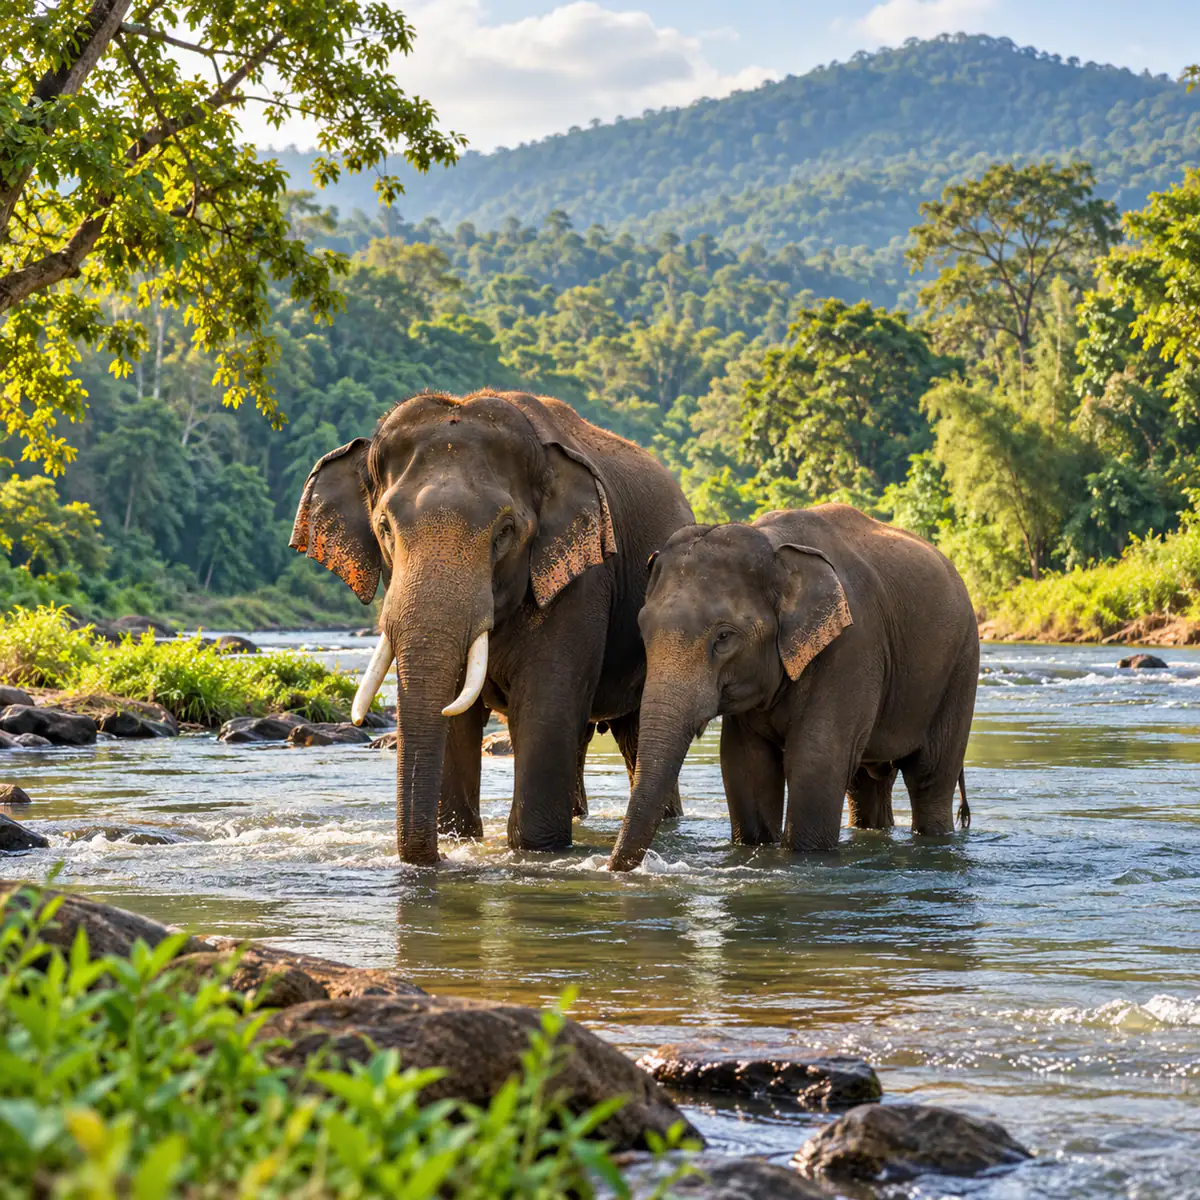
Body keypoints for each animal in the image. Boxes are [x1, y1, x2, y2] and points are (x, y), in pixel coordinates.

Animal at [291, 389, 694, 865]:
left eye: (504, 531)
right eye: (385, 528)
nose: (431, 858)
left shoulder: (584, 581)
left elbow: (546, 700)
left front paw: (537, 851)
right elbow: (455, 716)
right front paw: (456, 840)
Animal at [608, 504, 979, 871]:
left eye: (724, 637)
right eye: (642, 630)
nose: (613, 867)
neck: (774, 547)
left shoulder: (852, 647)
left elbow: (816, 760)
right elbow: (745, 764)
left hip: (961, 668)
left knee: (930, 778)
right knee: (867, 784)